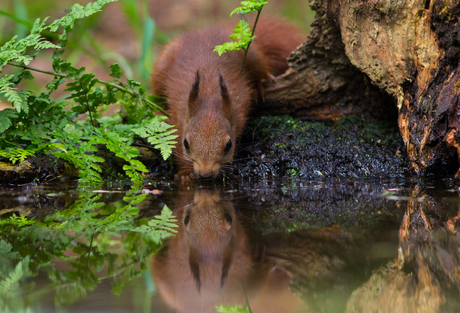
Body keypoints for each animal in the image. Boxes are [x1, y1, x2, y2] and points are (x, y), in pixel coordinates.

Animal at [153, 17, 304, 180]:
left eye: (229, 145)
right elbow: (176, 148)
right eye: (186, 143)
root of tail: (208, 30)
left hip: (249, 53)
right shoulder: (177, 121)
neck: (209, 94)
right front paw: (185, 174)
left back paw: (260, 85)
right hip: (162, 65)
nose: (206, 173)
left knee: (261, 69)